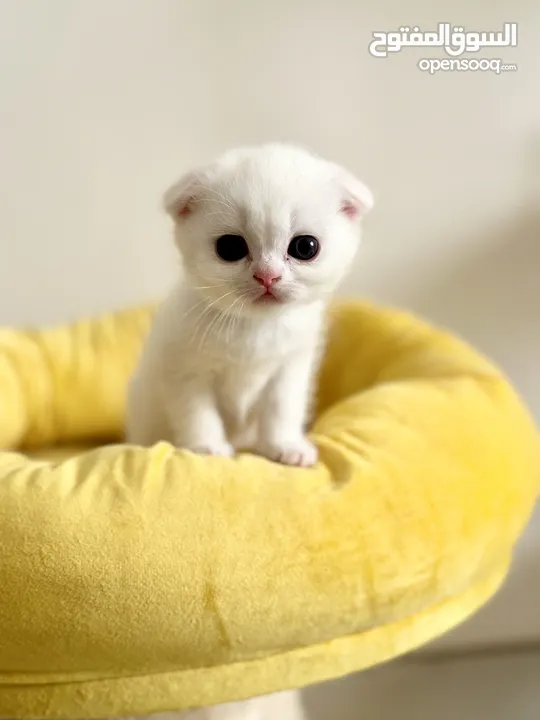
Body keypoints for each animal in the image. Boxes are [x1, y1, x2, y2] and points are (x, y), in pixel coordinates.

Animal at [126, 143, 374, 464]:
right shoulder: (183, 371)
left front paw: (284, 446)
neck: (254, 328)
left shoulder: (290, 369)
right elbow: (197, 413)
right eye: (230, 247)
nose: (267, 276)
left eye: (305, 247)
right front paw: (207, 447)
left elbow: (281, 409)